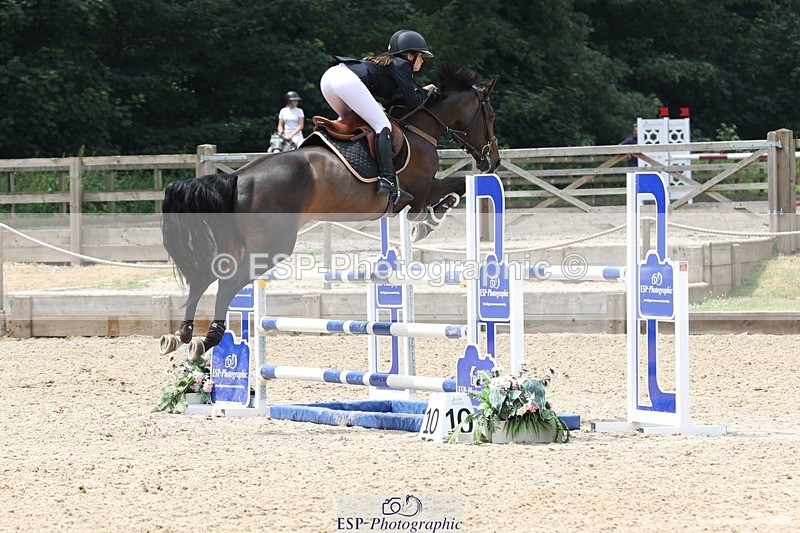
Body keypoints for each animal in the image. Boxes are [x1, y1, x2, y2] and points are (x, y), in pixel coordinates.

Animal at [159, 63, 500, 358]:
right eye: (491, 114)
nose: (492, 161)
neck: (418, 128)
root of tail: (238, 177)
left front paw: (429, 220)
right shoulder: (419, 193)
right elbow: (457, 186)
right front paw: (431, 219)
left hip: (235, 245)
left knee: (205, 277)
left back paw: (181, 335)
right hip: (269, 248)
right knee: (226, 283)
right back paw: (209, 338)